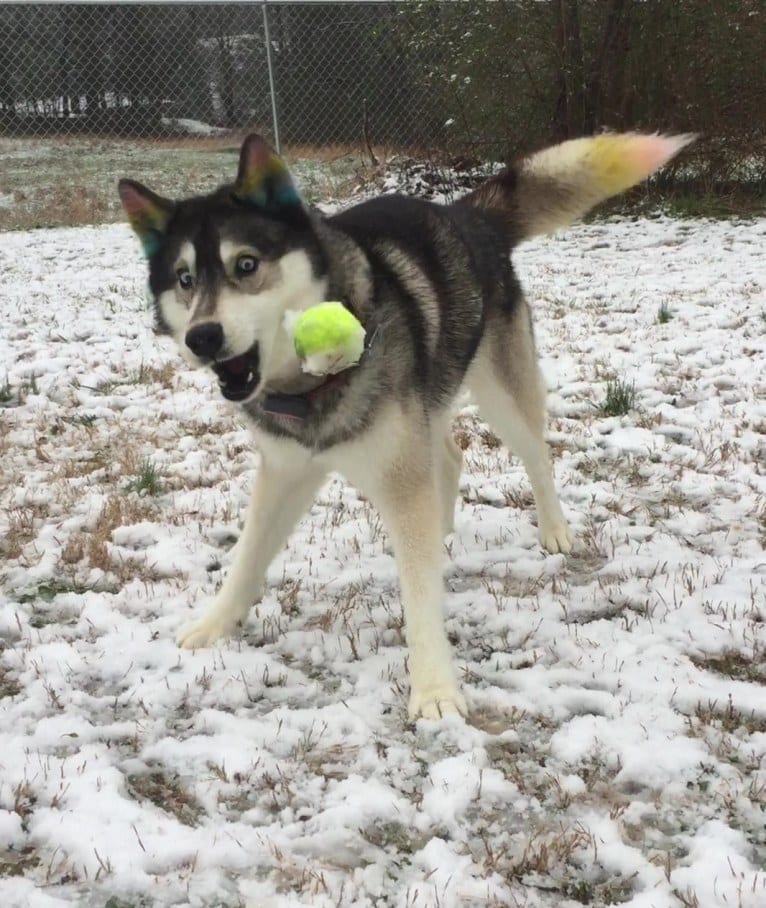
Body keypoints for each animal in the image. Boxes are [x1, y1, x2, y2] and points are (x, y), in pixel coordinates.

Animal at [118, 131, 688, 720]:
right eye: (184, 280)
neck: (310, 384)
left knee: (536, 454)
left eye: (247, 265)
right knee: (450, 457)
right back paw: (442, 528)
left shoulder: (396, 466)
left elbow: (419, 592)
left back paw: (553, 530)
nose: (203, 337)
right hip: (427, 405)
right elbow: (248, 553)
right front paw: (214, 624)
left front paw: (434, 689)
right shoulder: (285, 468)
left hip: (498, 392)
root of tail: (465, 213)